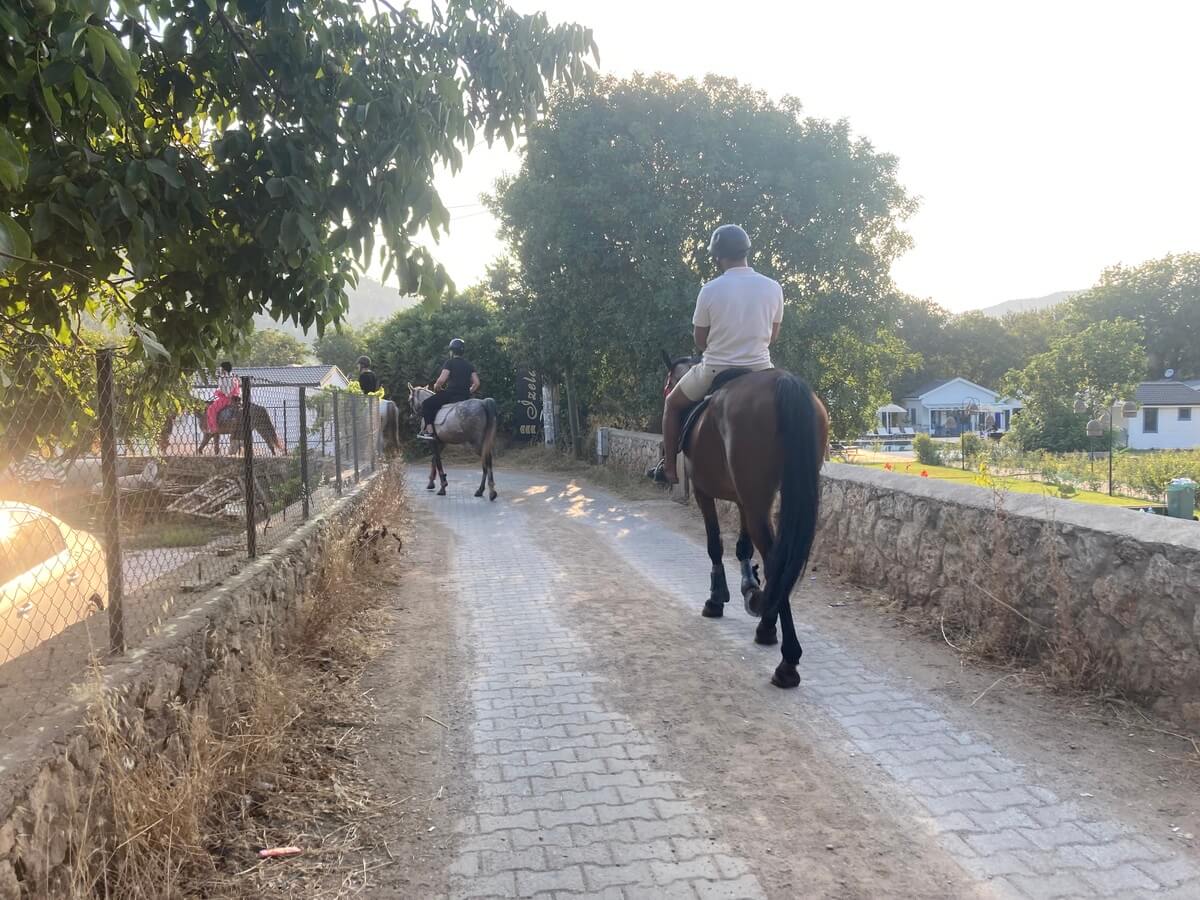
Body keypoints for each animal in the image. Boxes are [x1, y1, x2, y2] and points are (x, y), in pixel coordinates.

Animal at [662, 355, 830, 691]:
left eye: (669, 383)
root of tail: (782, 382)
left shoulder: (703, 491)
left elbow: (715, 545)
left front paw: (717, 599)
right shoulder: (743, 498)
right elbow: (742, 546)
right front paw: (748, 585)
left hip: (754, 496)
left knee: (775, 559)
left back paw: (786, 658)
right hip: (765, 495)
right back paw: (768, 624)